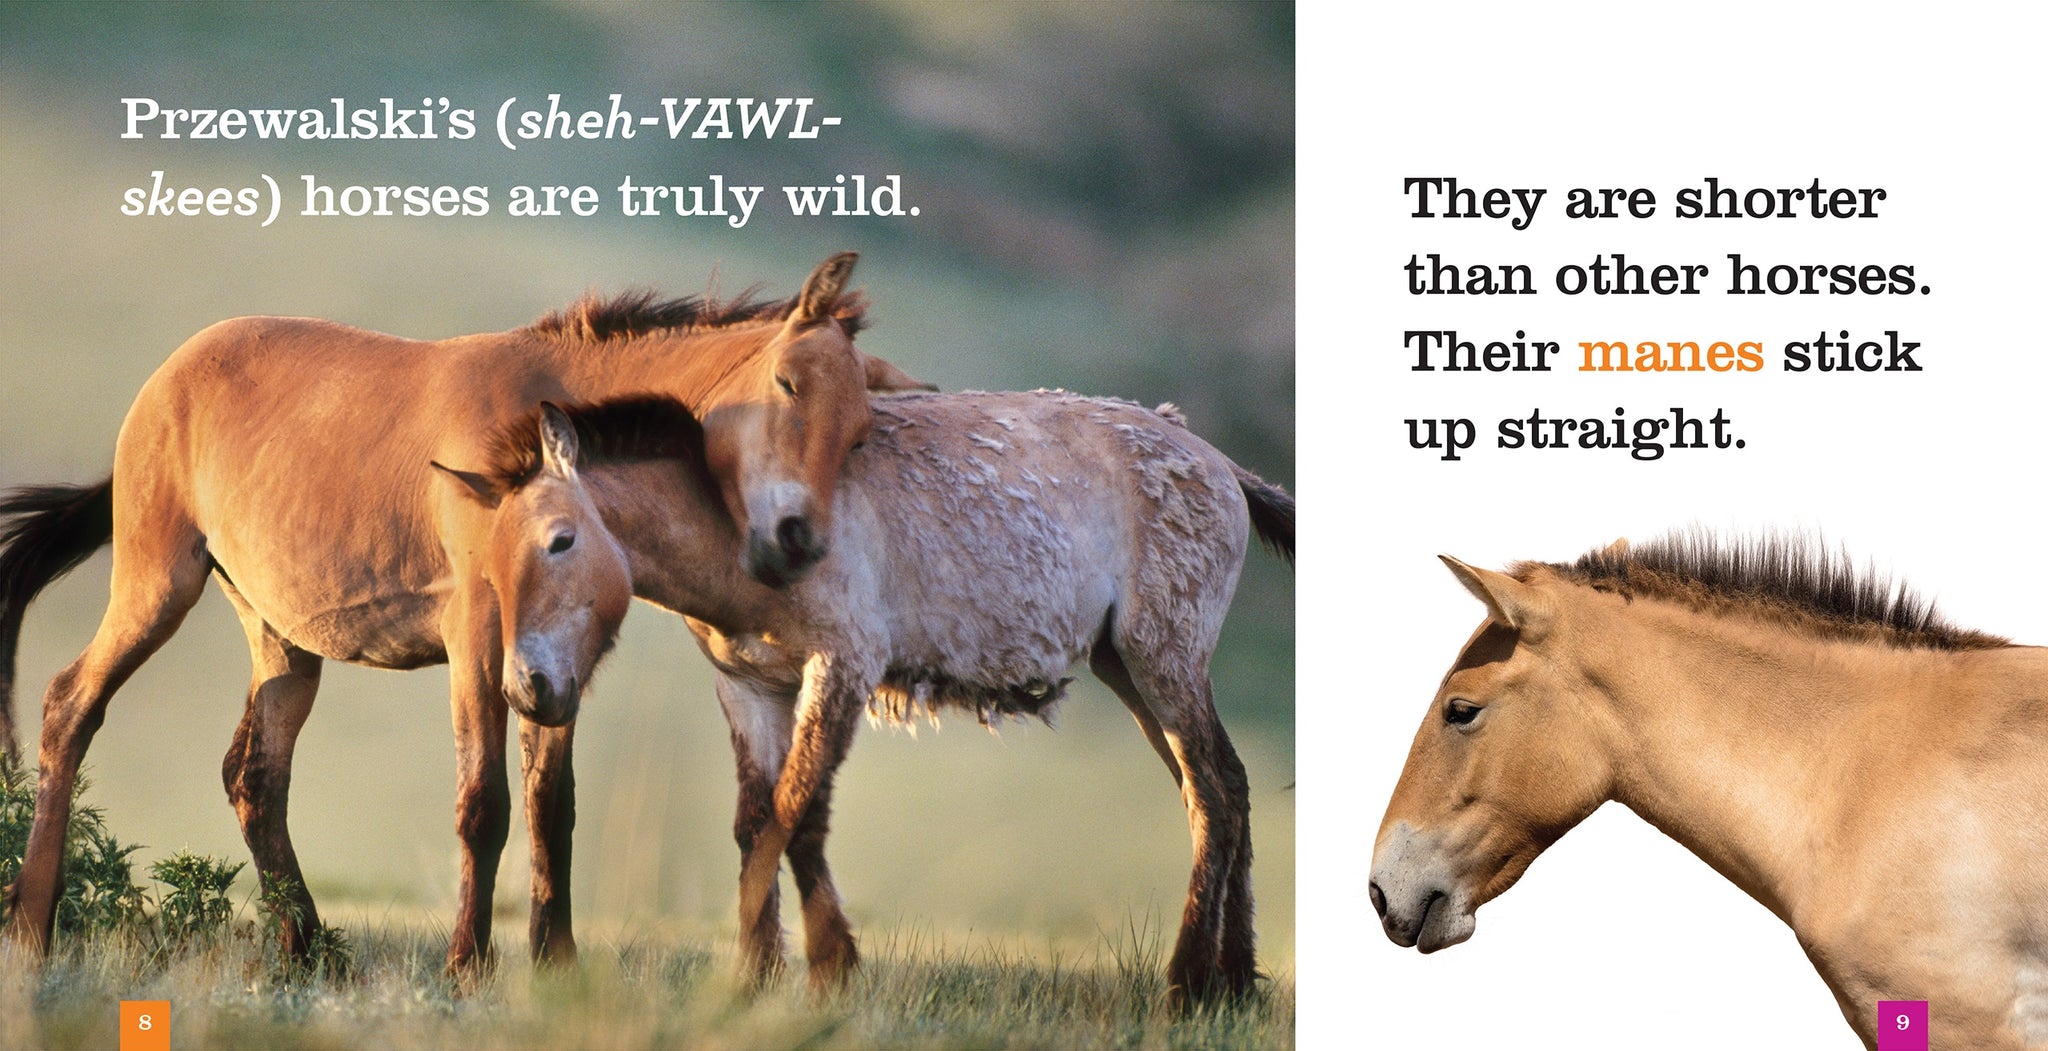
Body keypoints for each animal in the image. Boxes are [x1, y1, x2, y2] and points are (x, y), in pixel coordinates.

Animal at [0, 252, 929, 968]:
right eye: (787, 383)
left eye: (858, 431)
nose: (797, 540)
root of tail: (169, 377)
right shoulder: (480, 636)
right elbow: (484, 803)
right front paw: (467, 964)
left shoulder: (555, 658)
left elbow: (553, 806)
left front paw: (555, 964)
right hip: (159, 584)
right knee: (70, 705)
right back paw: (32, 925)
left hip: (280, 638)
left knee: (254, 774)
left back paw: (310, 952)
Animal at [461, 389, 1294, 1006]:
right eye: (490, 566)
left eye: (561, 540)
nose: (529, 688)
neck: (745, 518)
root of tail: (1219, 463)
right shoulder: (751, 687)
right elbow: (757, 823)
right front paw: (756, 976)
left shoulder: (841, 671)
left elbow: (796, 818)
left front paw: (832, 966)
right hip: (1129, 667)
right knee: (1223, 787)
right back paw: (1231, 981)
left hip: (1163, 659)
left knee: (1213, 791)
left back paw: (1188, 982)